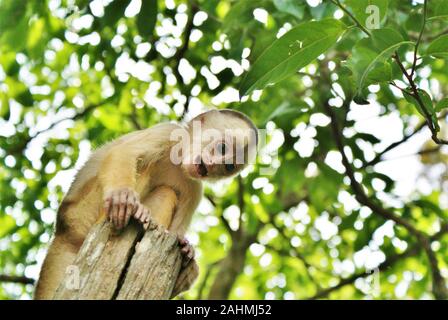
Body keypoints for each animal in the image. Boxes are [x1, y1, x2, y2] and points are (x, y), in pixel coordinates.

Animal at [34, 109, 260, 298]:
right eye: (222, 147)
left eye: (228, 166)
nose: (213, 166)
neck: (178, 160)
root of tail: (63, 231)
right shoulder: (167, 132)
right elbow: (125, 153)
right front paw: (121, 195)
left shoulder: (195, 188)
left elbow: (177, 232)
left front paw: (187, 262)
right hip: (82, 212)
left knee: (166, 192)